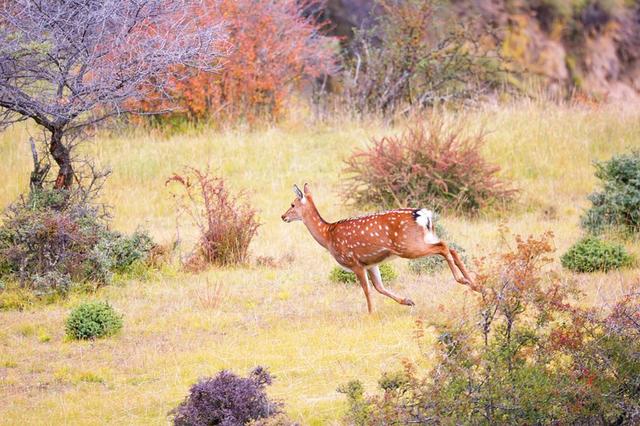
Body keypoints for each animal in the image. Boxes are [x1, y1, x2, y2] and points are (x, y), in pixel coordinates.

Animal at [282, 182, 478, 312]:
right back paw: (473, 283)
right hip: (423, 238)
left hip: (408, 246)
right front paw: (408, 301)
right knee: (451, 248)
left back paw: (463, 280)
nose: (283, 216)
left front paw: (370, 313)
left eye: (292, 204)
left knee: (443, 247)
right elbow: (379, 287)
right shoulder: (371, 263)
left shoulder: (354, 262)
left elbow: (367, 290)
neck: (328, 236)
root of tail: (423, 215)